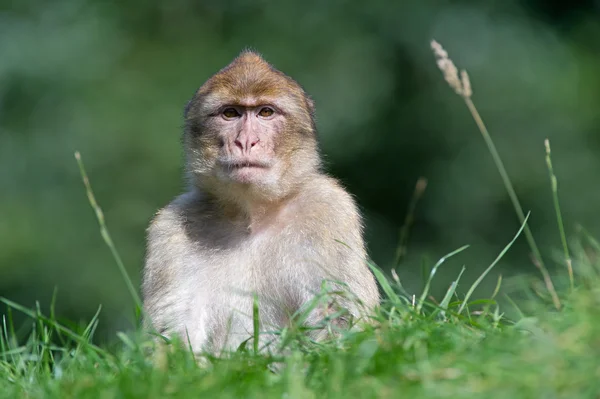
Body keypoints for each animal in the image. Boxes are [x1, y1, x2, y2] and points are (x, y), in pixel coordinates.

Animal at [142, 50, 380, 356]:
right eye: (230, 113)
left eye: (265, 112)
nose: (246, 142)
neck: (252, 216)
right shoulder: (170, 229)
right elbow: (172, 333)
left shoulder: (331, 209)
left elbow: (339, 316)